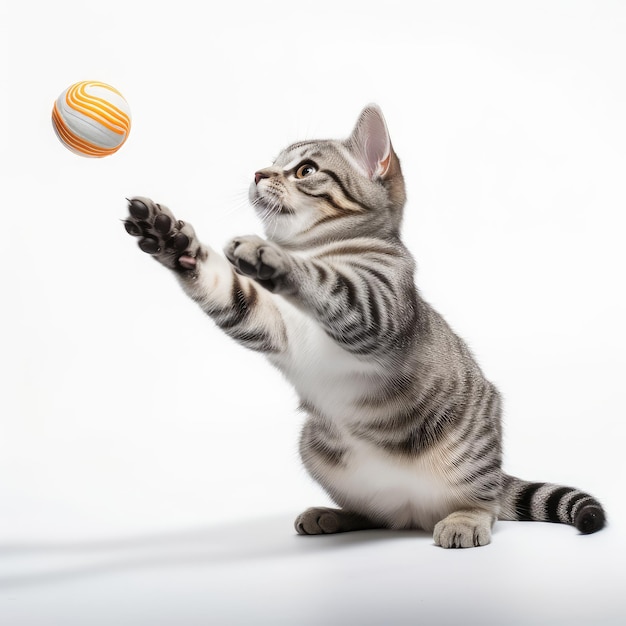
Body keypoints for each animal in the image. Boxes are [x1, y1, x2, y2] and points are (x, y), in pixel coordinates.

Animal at [122, 105, 604, 544]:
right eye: (273, 162)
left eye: (305, 170)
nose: (258, 173)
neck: (320, 247)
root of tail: (413, 513)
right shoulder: (266, 320)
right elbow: (220, 282)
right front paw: (170, 238)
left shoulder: (373, 309)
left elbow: (324, 280)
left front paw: (269, 254)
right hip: (316, 447)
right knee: (377, 514)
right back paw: (333, 515)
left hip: (469, 455)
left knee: (486, 502)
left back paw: (465, 519)